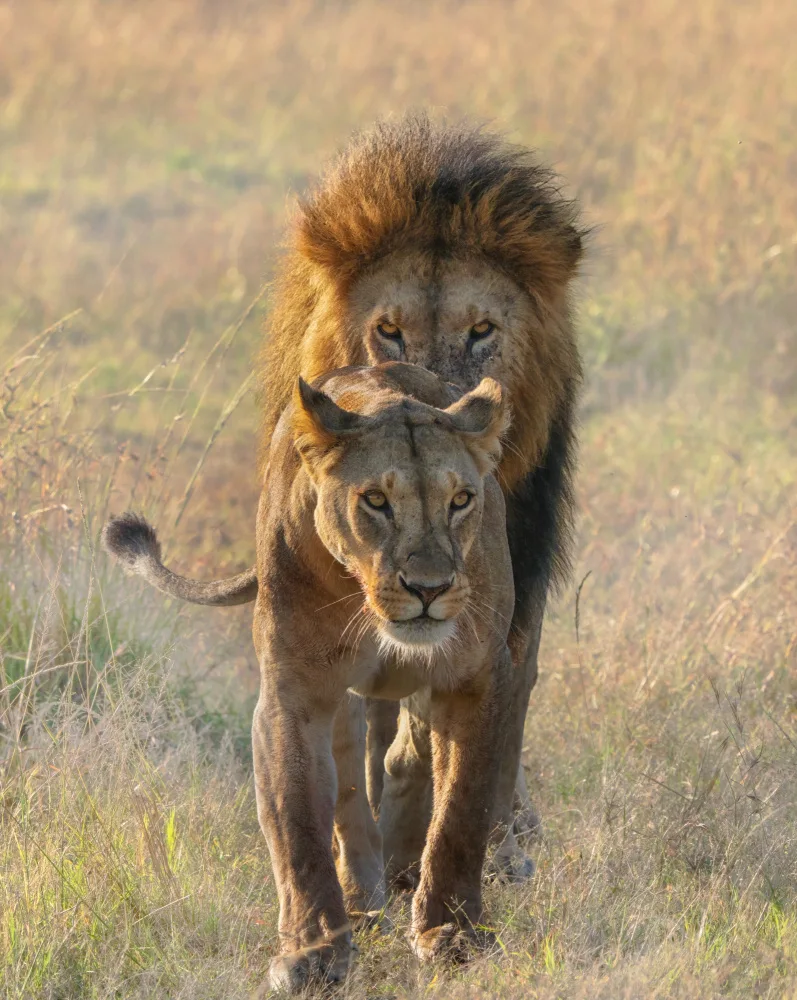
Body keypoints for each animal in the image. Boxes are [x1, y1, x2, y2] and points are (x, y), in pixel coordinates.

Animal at [105, 112, 584, 876]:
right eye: (389, 332)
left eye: (481, 332)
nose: (442, 414)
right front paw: (365, 852)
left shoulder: (511, 586)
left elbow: (475, 718)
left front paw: (453, 840)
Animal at [106, 362, 515, 992]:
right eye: (376, 500)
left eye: (462, 500)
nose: (429, 589)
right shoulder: (293, 693)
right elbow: (298, 823)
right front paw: (314, 953)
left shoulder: (475, 679)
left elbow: (460, 813)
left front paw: (452, 934)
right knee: (349, 794)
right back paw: (364, 897)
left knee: (408, 758)